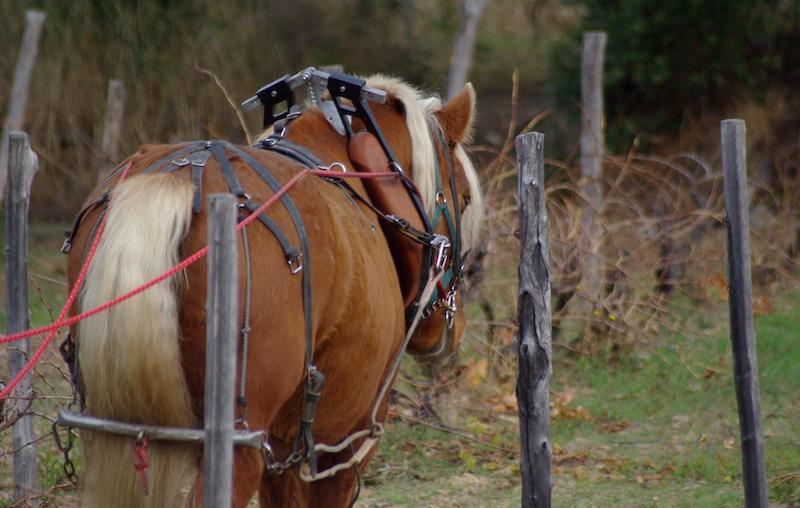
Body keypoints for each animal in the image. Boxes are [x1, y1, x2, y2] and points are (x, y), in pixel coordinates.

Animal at [64, 72, 483, 507]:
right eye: (465, 198)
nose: (451, 332)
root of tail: (180, 176)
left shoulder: (283, 448)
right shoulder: (345, 440)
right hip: (239, 443)